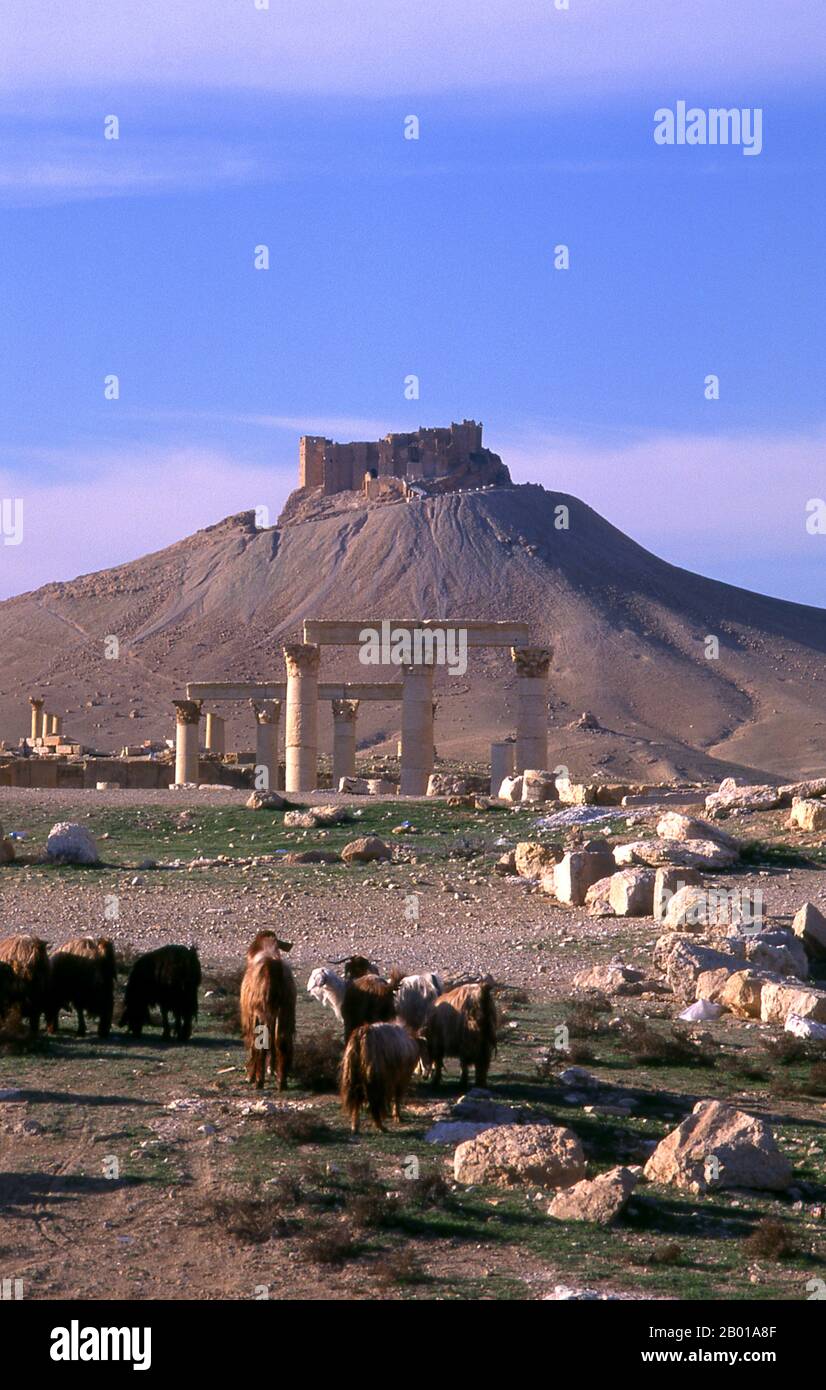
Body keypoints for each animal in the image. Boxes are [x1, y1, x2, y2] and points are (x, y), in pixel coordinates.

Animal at [237, 928, 296, 1089]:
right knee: (281, 1041)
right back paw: (281, 1082)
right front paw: (272, 1070)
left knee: (260, 1044)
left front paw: (250, 1076)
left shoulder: (251, 1016)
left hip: (261, 1014)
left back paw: (258, 1080)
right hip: (284, 1012)